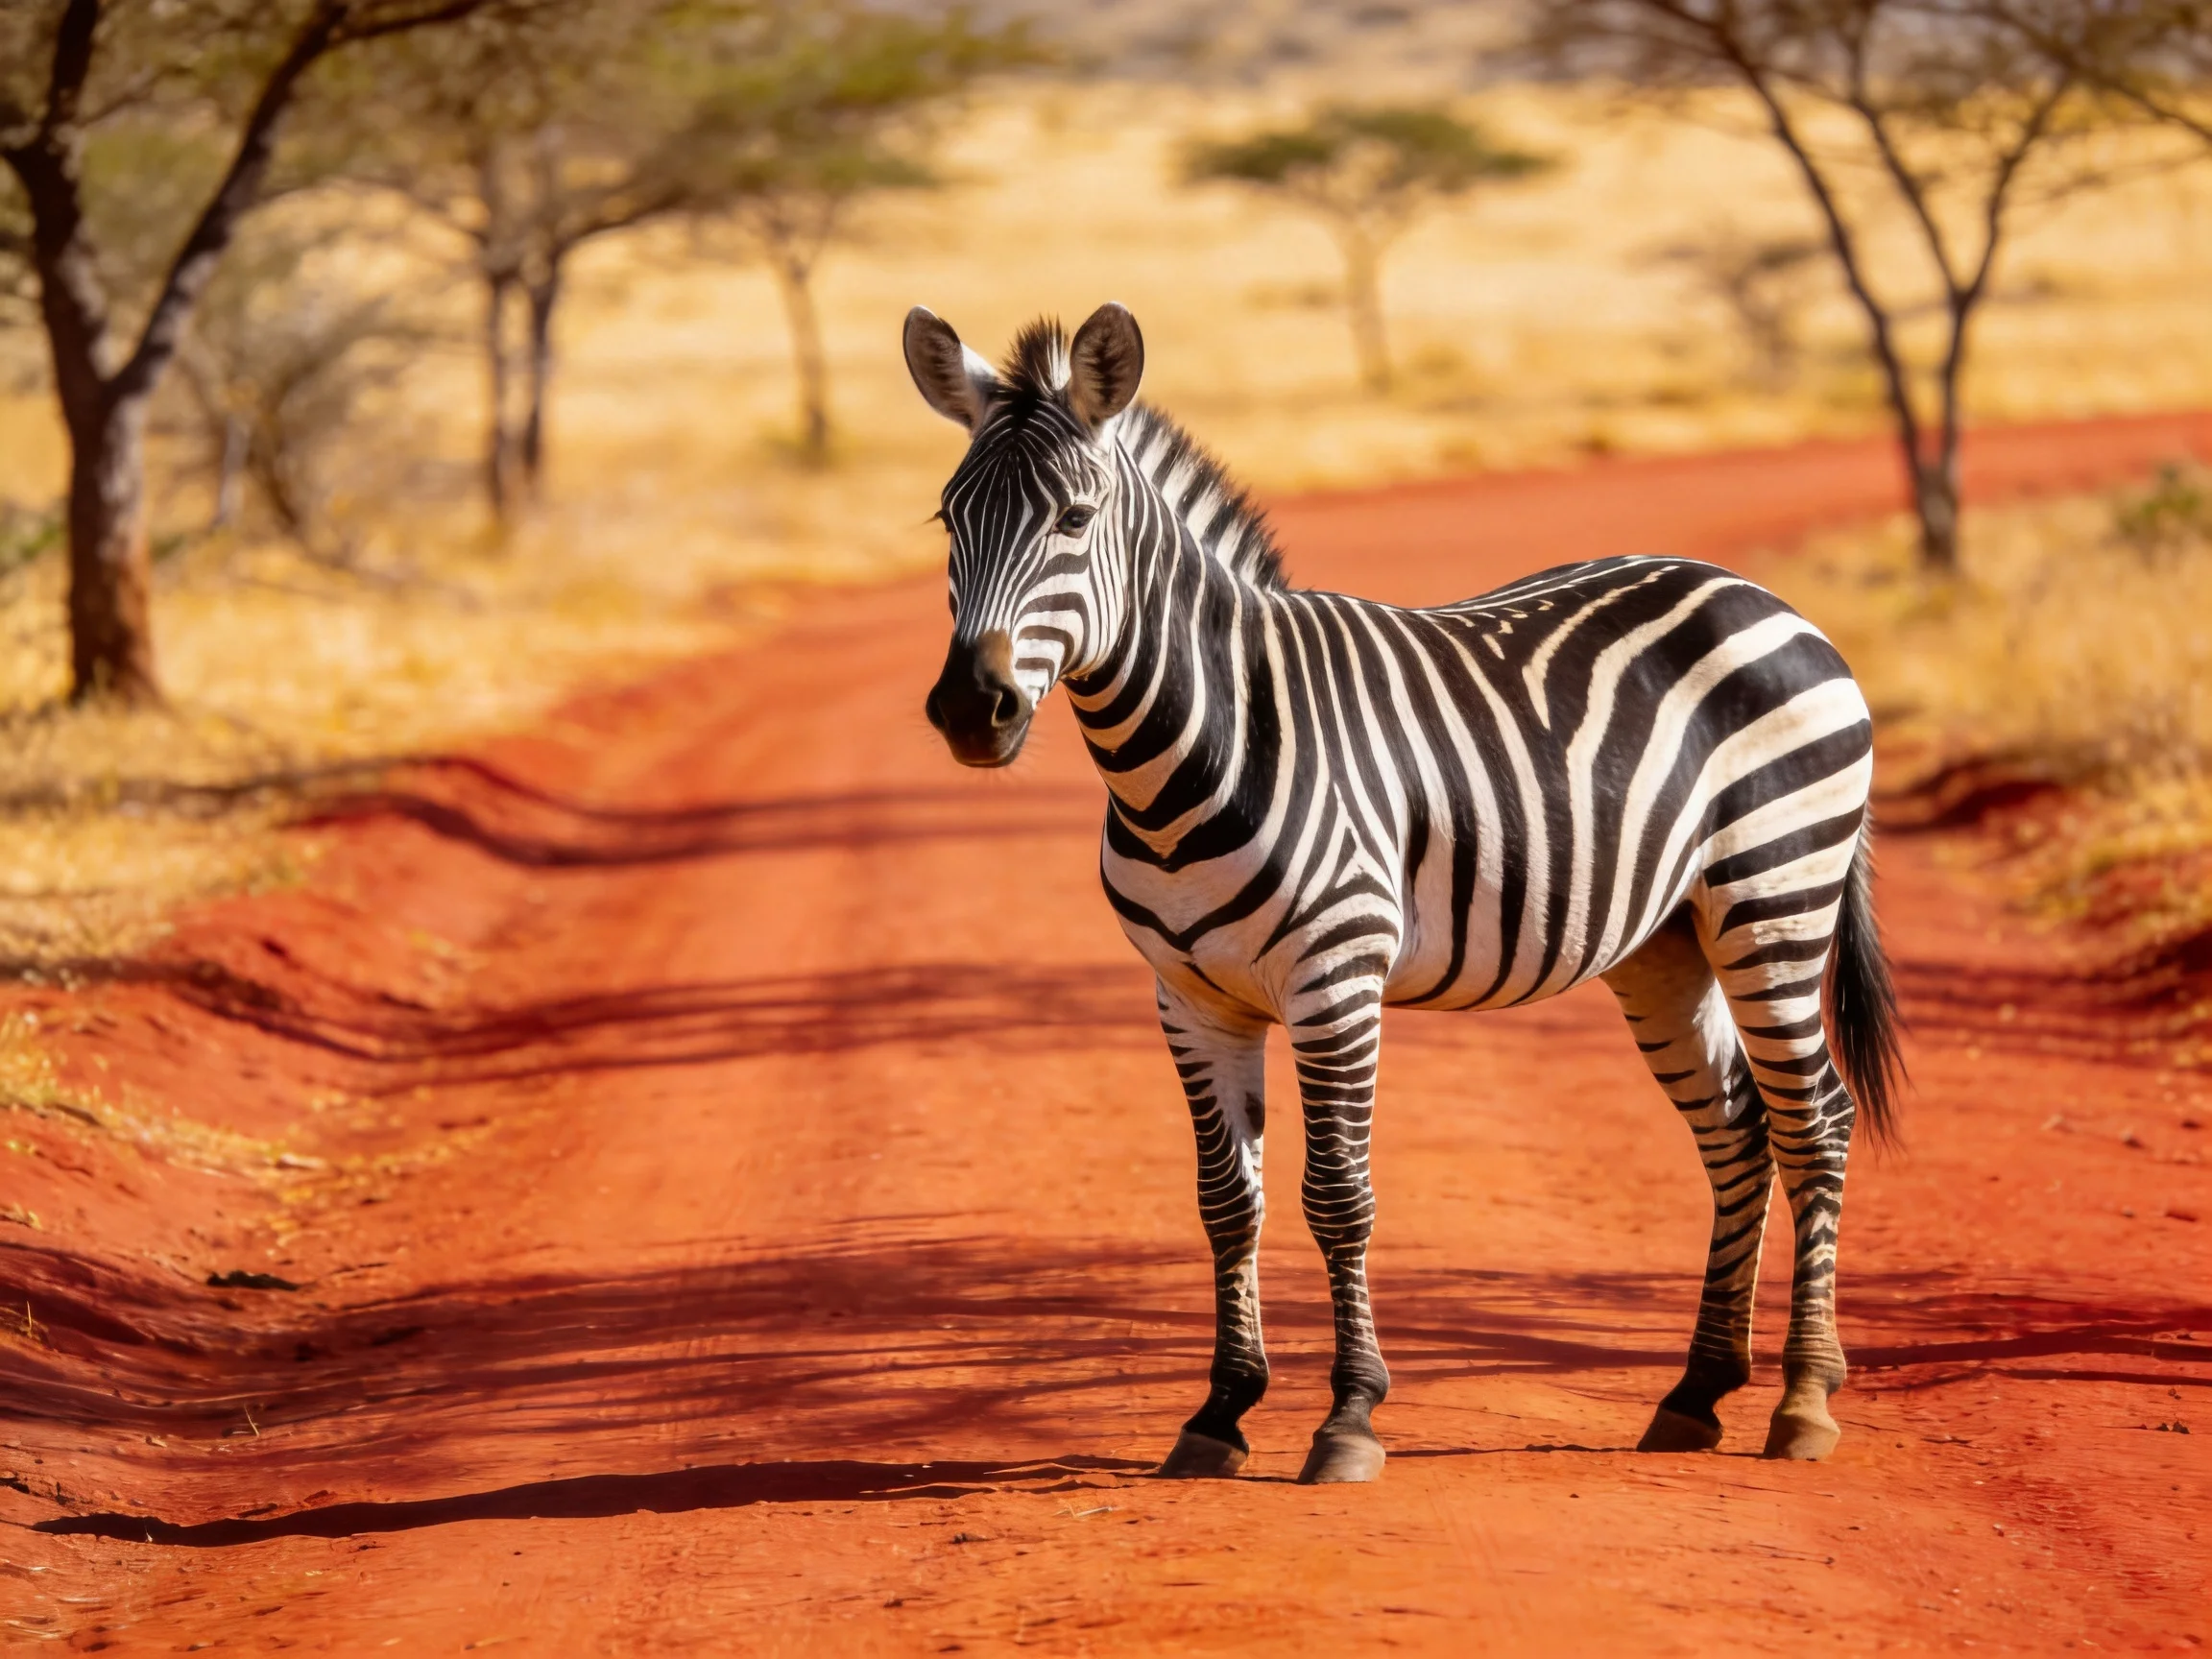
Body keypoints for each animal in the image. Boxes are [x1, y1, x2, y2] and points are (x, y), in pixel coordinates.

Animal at [902, 301, 1903, 1485]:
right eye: (947, 519)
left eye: (1072, 518)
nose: (971, 710)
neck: (1189, 754)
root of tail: (1759, 595)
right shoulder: (1190, 997)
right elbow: (1226, 1203)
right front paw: (1220, 1411)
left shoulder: (1337, 980)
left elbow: (1338, 1196)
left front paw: (1348, 1417)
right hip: (1667, 941)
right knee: (1739, 1130)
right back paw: (1697, 1390)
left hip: (1774, 897)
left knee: (1815, 1121)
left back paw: (1803, 1397)